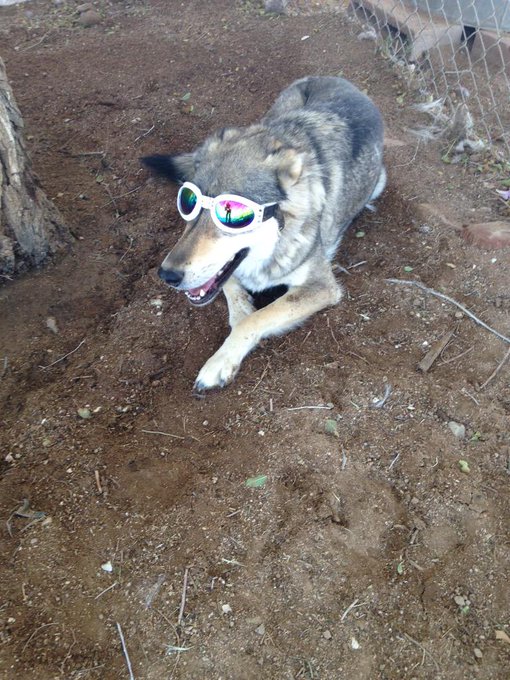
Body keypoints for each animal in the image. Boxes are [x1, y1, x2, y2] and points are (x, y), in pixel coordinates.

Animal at [142, 76, 385, 390]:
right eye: (188, 202)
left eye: (231, 214)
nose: (167, 275)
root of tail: (346, 83)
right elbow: (235, 301)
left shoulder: (321, 287)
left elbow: (254, 319)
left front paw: (220, 361)